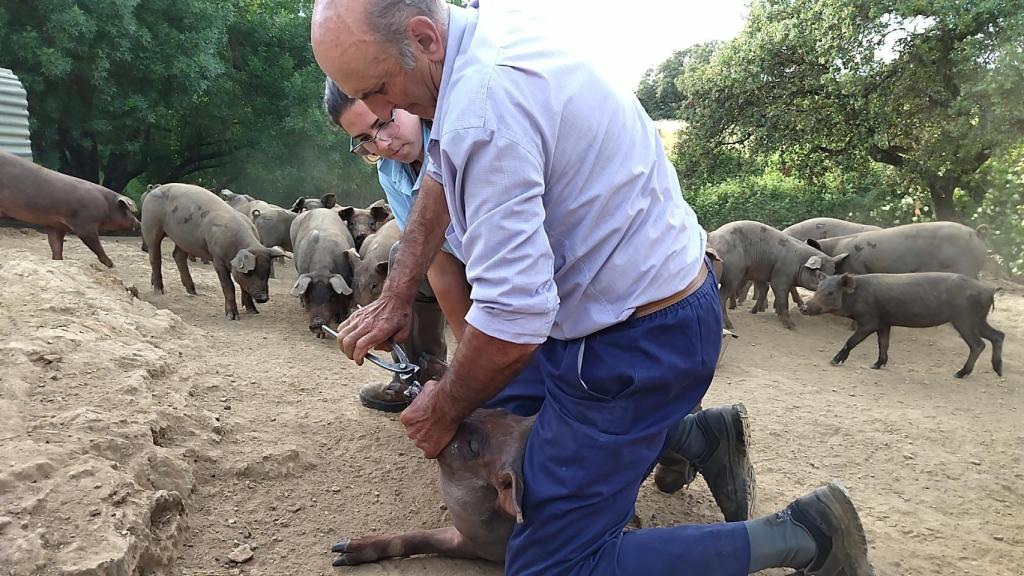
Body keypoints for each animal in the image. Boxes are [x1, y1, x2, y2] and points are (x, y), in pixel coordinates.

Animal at [0, 147, 138, 264]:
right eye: (127, 210)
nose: (138, 222)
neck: (107, 205)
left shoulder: (56, 224)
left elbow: (56, 244)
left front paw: (58, 260)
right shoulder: (85, 225)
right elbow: (95, 244)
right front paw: (111, 264)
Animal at [140, 183, 284, 317]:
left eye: (267, 272)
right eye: (250, 272)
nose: (263, 298)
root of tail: (154, 190)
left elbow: (243, 286)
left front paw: (253, 312)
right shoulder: (217, 259)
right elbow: (228, 286)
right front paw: (232, 316)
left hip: (183, 239)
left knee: (178, 256)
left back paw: (192, 291)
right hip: (151, 224)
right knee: (155, 256)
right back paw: (159, 291)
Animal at [331, 407, 532, 565]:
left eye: (472, 447)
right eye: (500, 411)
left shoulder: (482, 545)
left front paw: (341, 553)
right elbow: (419, 537)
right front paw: (341, 550)